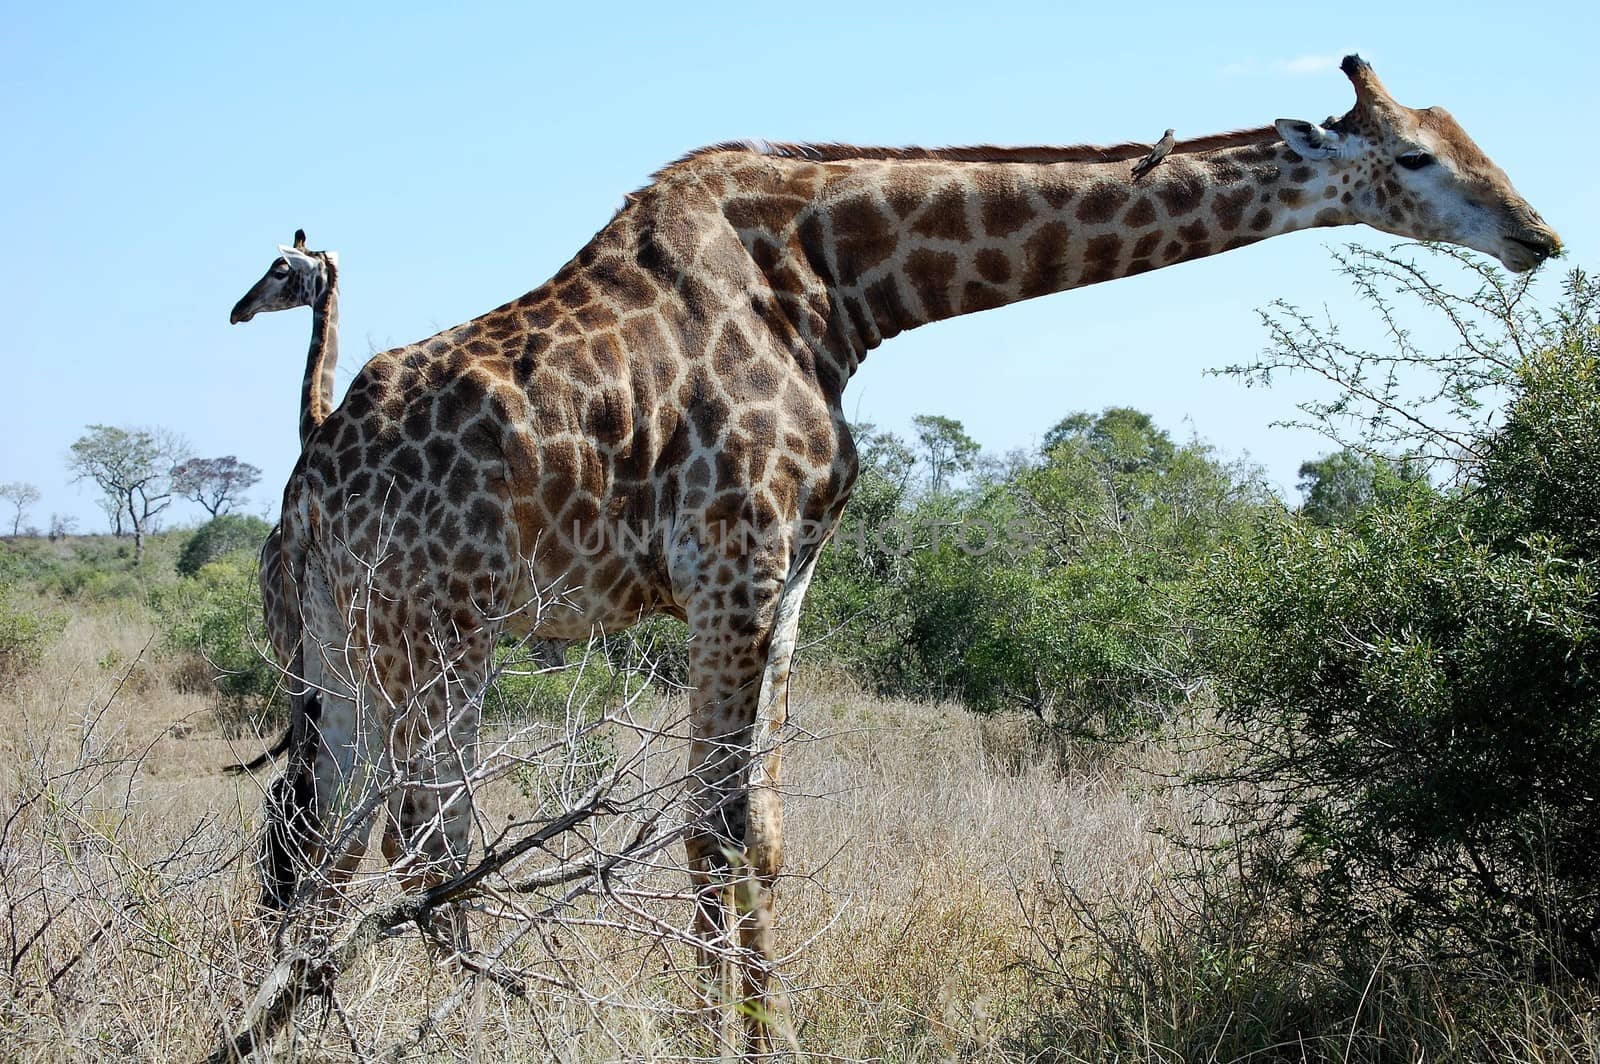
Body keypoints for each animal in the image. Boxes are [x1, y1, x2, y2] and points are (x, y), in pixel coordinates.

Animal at [256, 58, 1555, 1043]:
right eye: (1416, 156)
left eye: (1467, 135)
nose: (1535, 233)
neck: (846, 281)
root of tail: (306, 491)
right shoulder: (733, 549)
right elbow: (709, 825)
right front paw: (715, 1037)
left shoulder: (792, 571)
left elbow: (762, 830)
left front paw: (769, 1033)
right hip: (440, 626)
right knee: (424, 837)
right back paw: (485, 1020)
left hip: (349, 643)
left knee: (330, 836)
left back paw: (301, 1019)